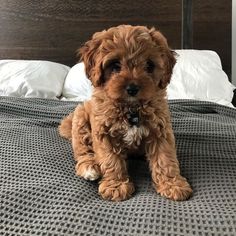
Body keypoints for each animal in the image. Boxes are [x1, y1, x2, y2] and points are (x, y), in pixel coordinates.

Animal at [59, 25, 192, 201]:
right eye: (115, 65)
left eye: (149, 65)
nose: (132, 88)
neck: (131, 108)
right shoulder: (104, 133)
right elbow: (110, 160)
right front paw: (116, 186)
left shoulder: (160, 131)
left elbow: (165, 158)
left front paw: (173, 185)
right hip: (80, 119)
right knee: (83, 151)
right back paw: (90, 167)